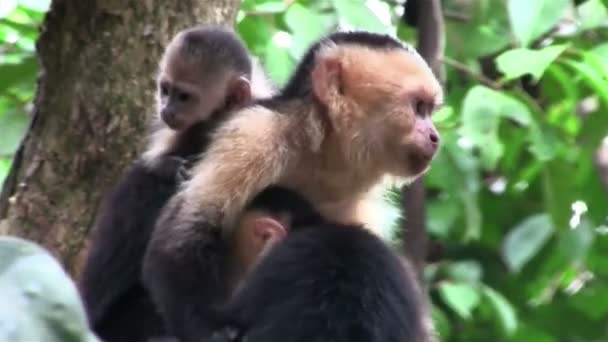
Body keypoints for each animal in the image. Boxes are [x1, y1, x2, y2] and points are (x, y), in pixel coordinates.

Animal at [145, 30, 444, 340]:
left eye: (428, 110)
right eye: (418, 108)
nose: (435, 136)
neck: (321, 154)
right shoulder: (254, 132)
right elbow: (181, 241)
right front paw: (213, 333)